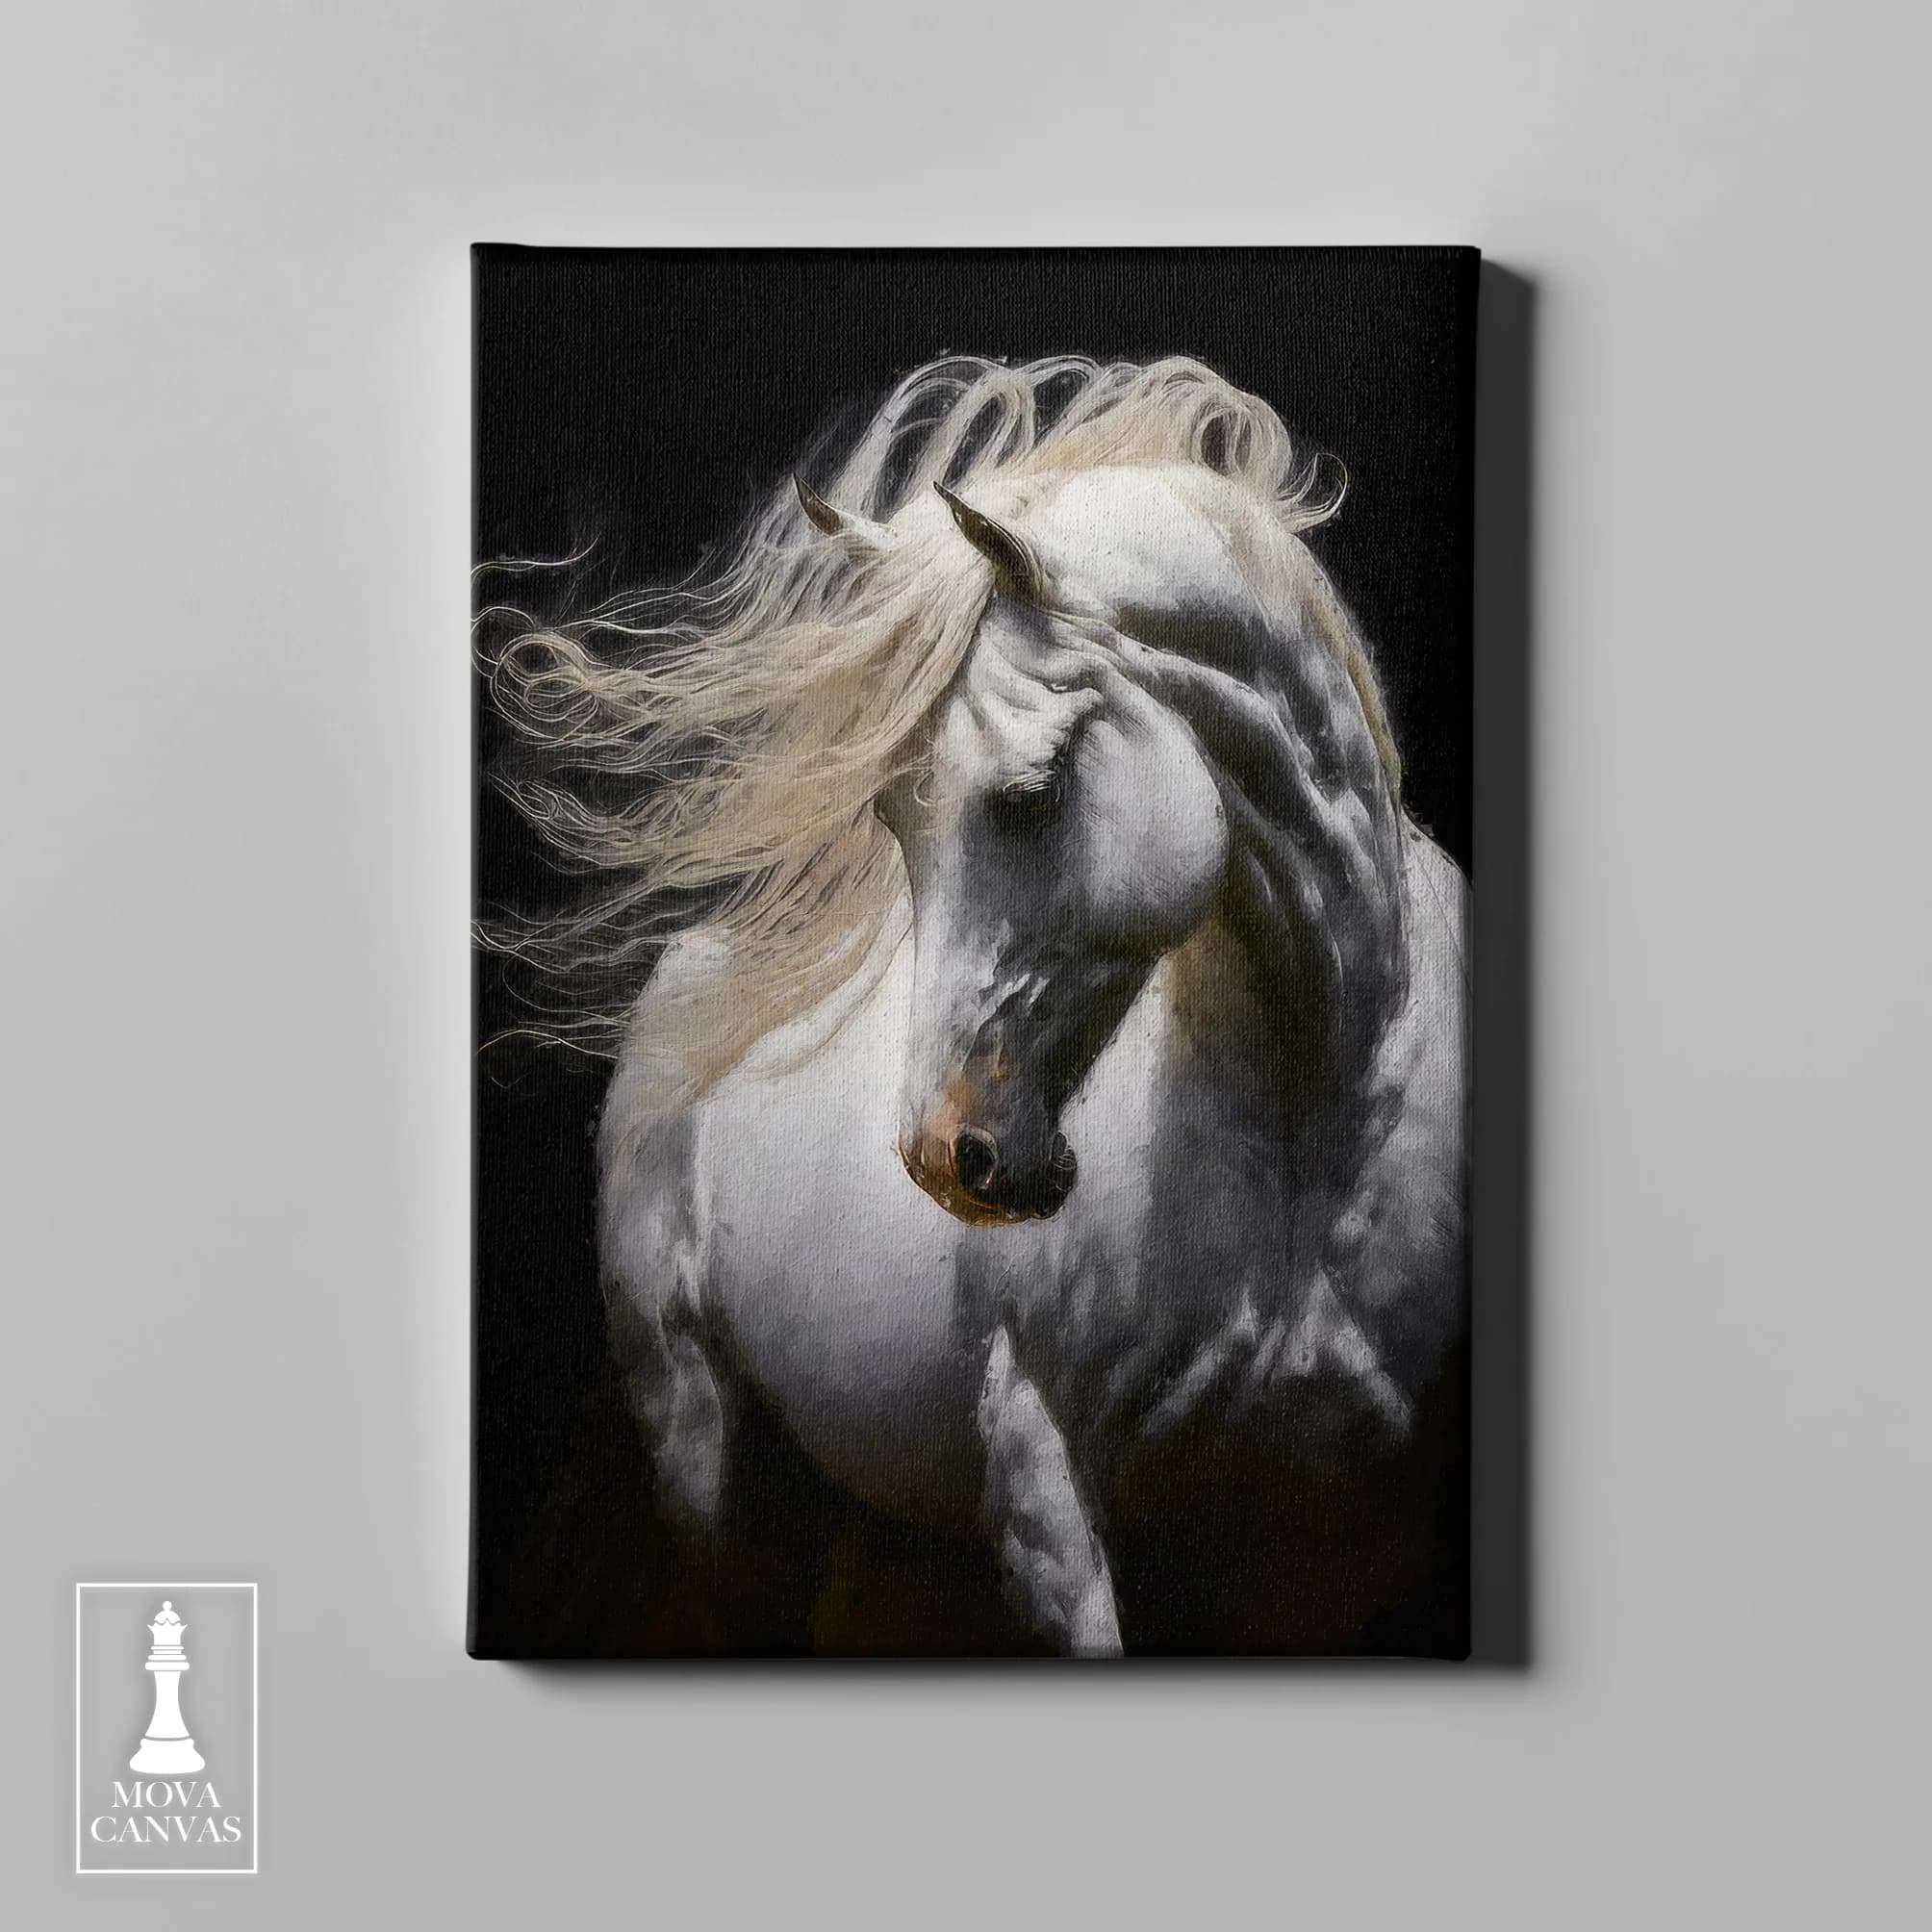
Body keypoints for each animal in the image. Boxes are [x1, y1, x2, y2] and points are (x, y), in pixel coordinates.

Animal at [487, 356, 1469, 1655]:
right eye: (890, 813)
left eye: (1033, 789)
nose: (947, 1155)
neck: (1323, 1135)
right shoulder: (1042, 1494)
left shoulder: (1340, 1553)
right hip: (704, 1454)